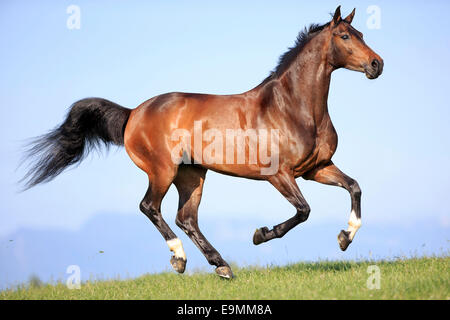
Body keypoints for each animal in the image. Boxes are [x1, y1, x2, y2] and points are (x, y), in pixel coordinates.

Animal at [22, 6, 384, 278]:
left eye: (362, 35)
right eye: (345, 36)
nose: (377, 64)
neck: (292, 107)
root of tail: (133, 113)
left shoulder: (317, 168)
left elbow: (354, 187)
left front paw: (344, 238)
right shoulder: (279, 174)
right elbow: (303, 211)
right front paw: (260, 235)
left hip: (192, 174)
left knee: (186, 218)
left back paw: (221, 266)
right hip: (162, 170)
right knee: (150, 207)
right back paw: (181, 259)